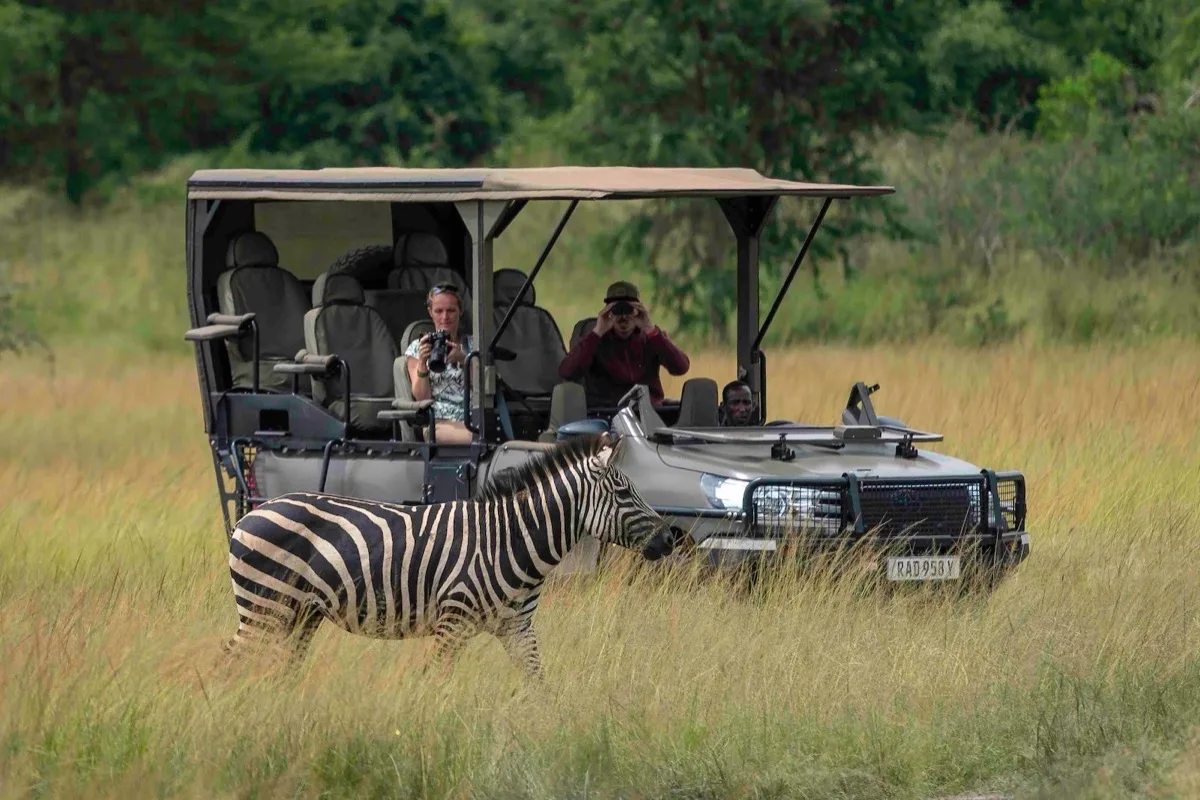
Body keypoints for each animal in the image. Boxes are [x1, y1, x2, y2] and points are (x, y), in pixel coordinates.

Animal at [224, 432, 678, 679]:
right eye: (623, 492)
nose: (669, 540)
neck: (510, 539)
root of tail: (253, 512)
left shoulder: (518, 627)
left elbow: (539, 683)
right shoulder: (452, 622)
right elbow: (435, 681)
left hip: (299, 613)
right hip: (265, 605)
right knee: (231, 659)